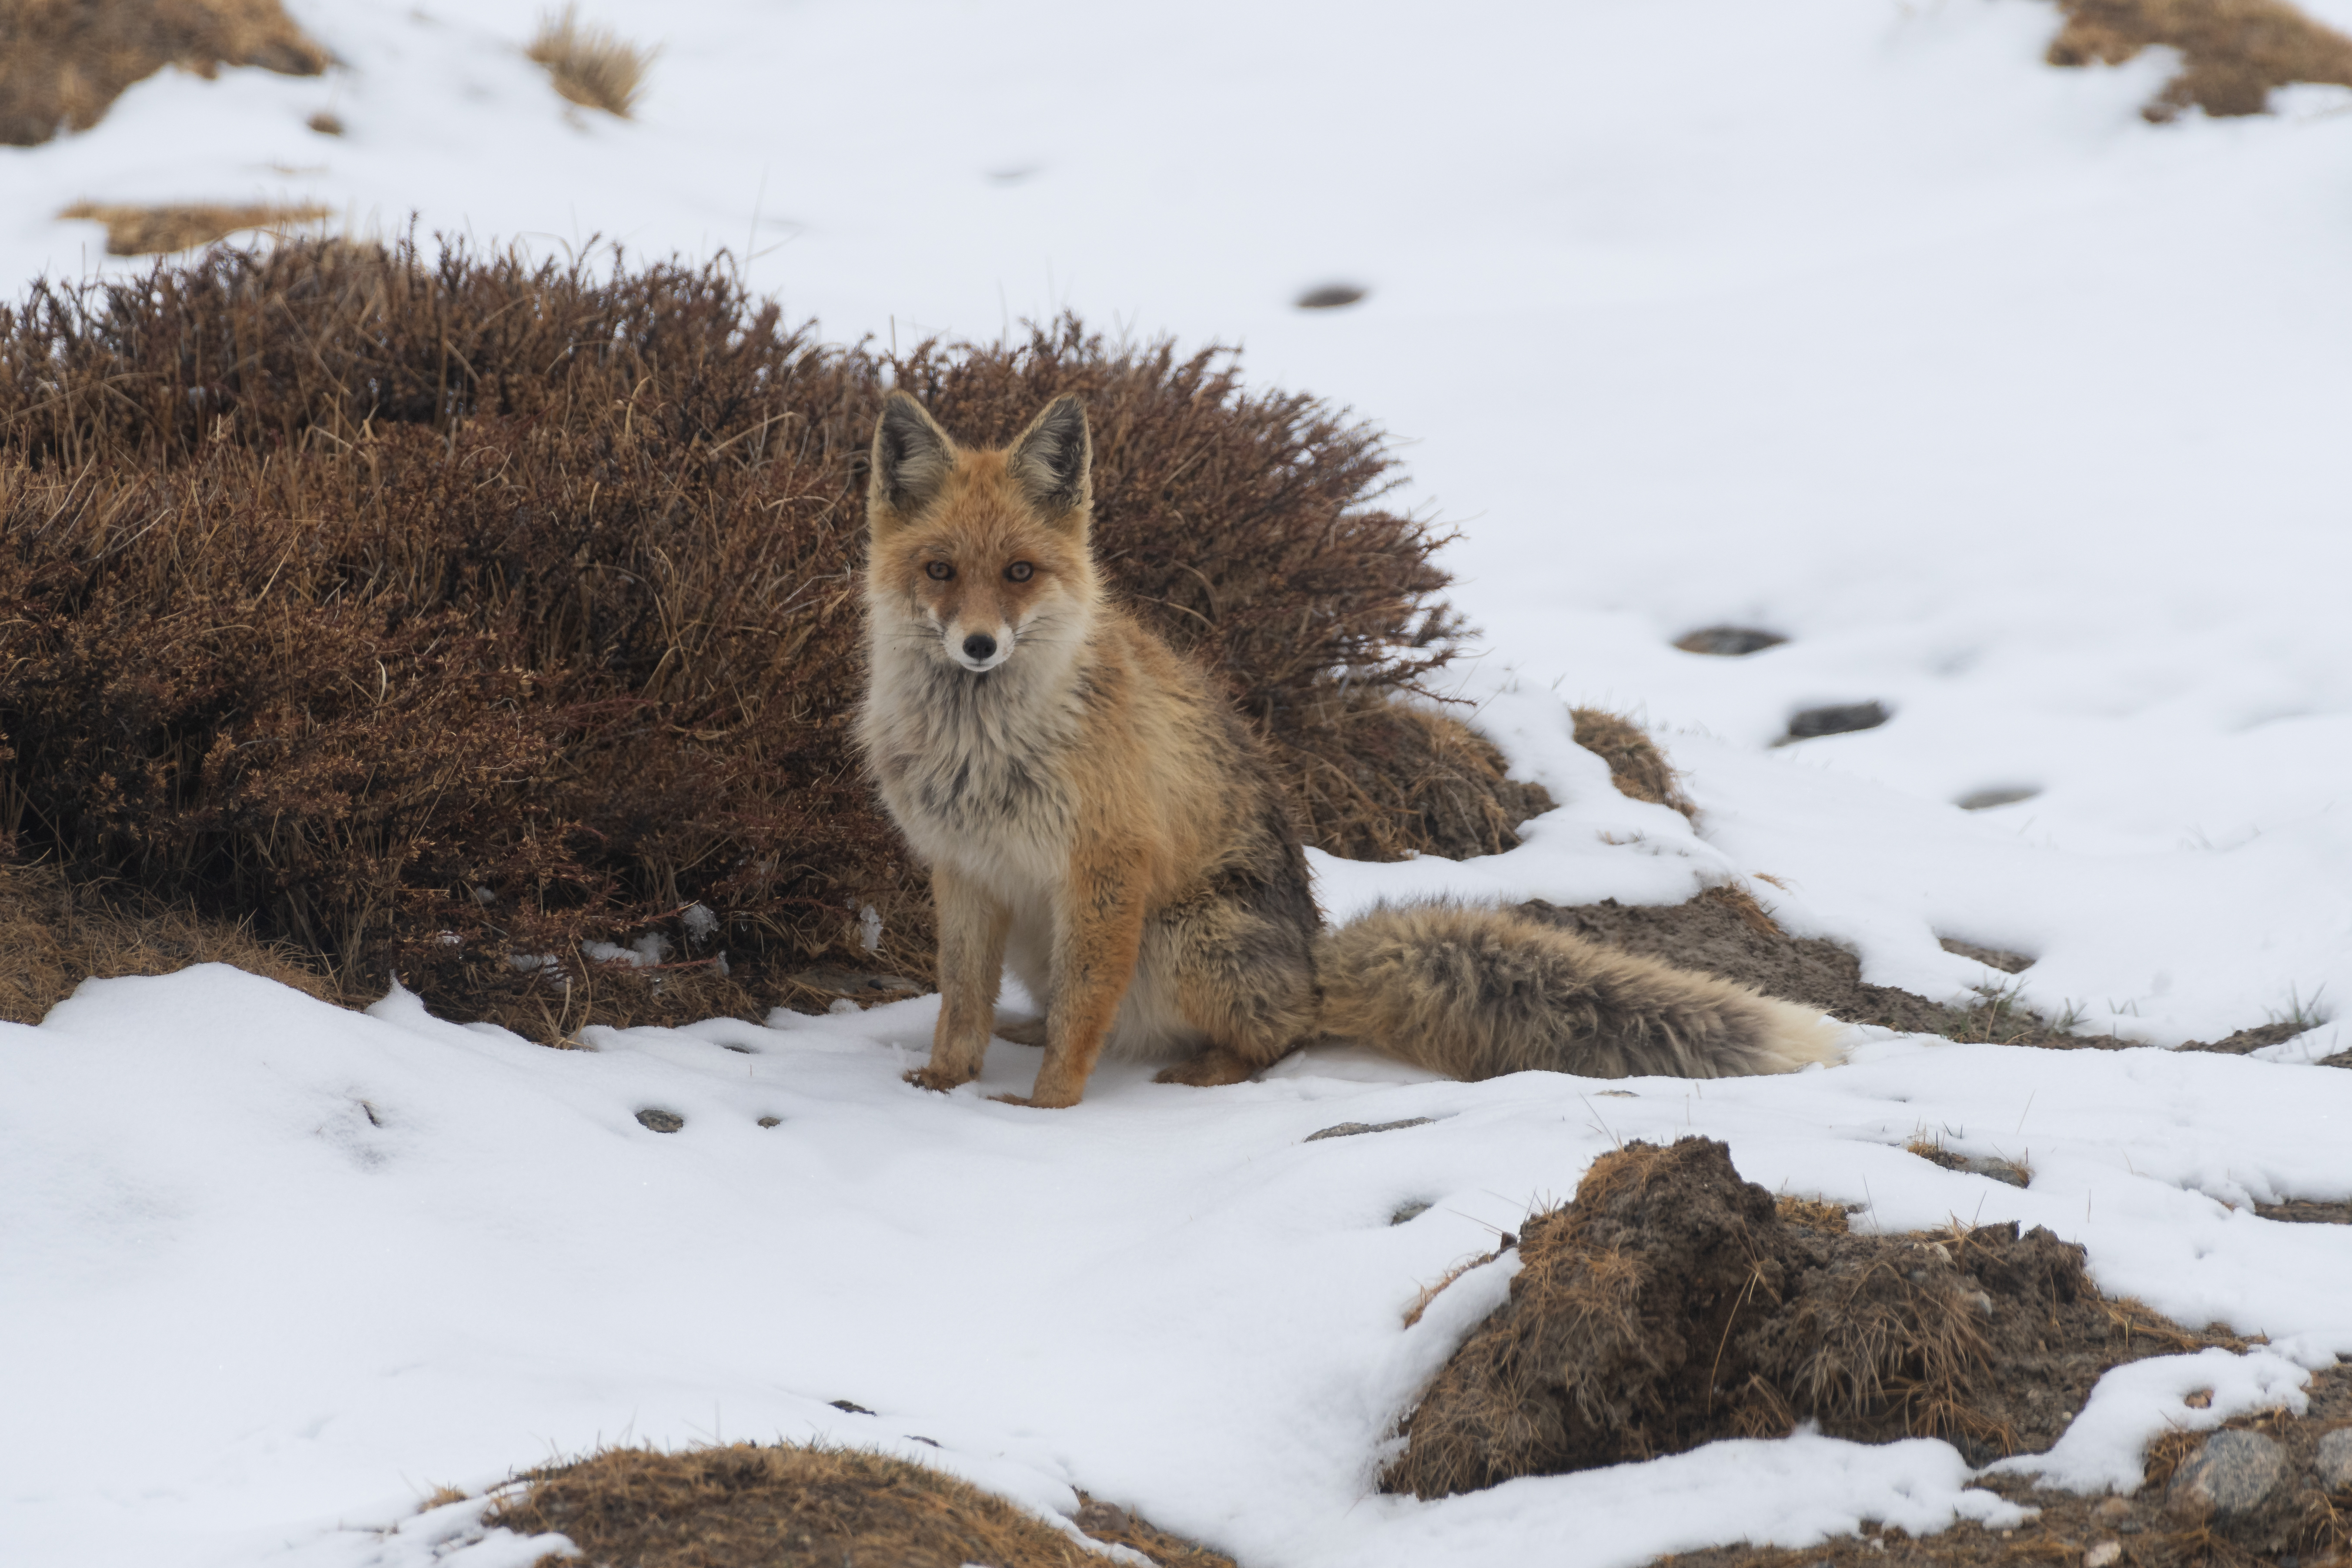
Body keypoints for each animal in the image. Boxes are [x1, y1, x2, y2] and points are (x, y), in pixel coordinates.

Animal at [854, 391, 1844, 1108]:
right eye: (940, 570)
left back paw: (1209, 1069)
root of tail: (1315, 962)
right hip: (1047, 935)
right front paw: (946, 1083)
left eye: (1019, 572)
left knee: (1273, 1037)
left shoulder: (1106, 864)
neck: (983, 745)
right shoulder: (965, 869)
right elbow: (960, 1000)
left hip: (1180, 934)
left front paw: (1044, 1111)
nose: (979, 645)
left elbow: (1081, 1016)